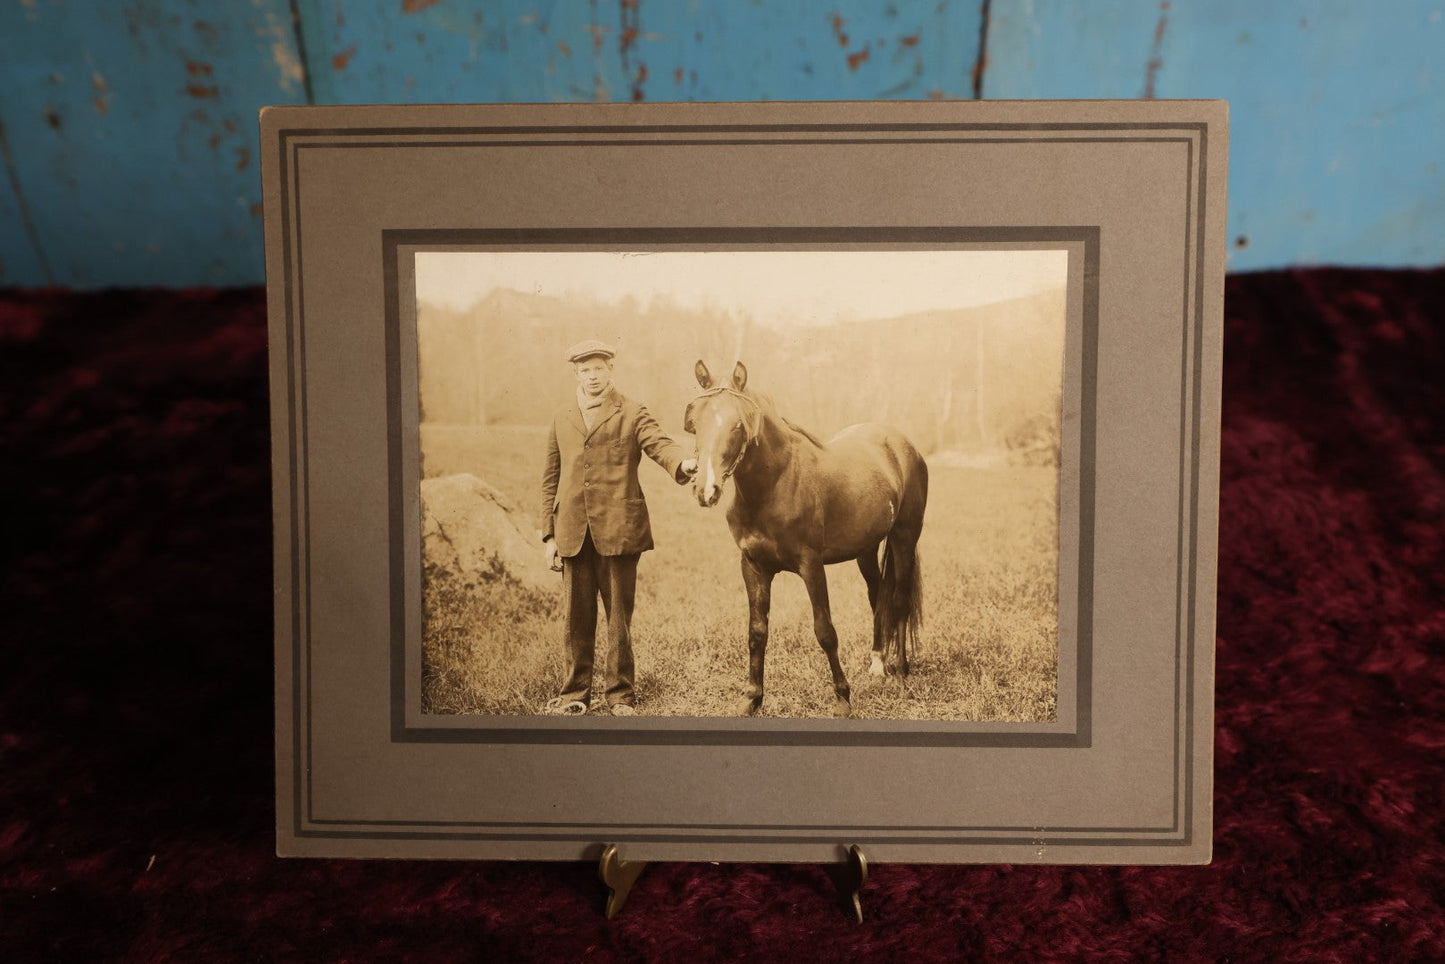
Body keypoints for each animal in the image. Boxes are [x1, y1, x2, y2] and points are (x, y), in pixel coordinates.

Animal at [684, 361, 930, 716]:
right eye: (696, 421)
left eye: (738, 424)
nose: (706, 489)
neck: (772, 485)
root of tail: (903, 445)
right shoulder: (753, 567)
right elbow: (757, 632)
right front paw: (752, 699)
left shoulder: (811, 565)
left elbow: (825, 630)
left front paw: (843, 699)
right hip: (866, 549)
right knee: (877, 594)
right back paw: (878, 664)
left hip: (904, 538)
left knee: (897, 599)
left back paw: (900, 670)